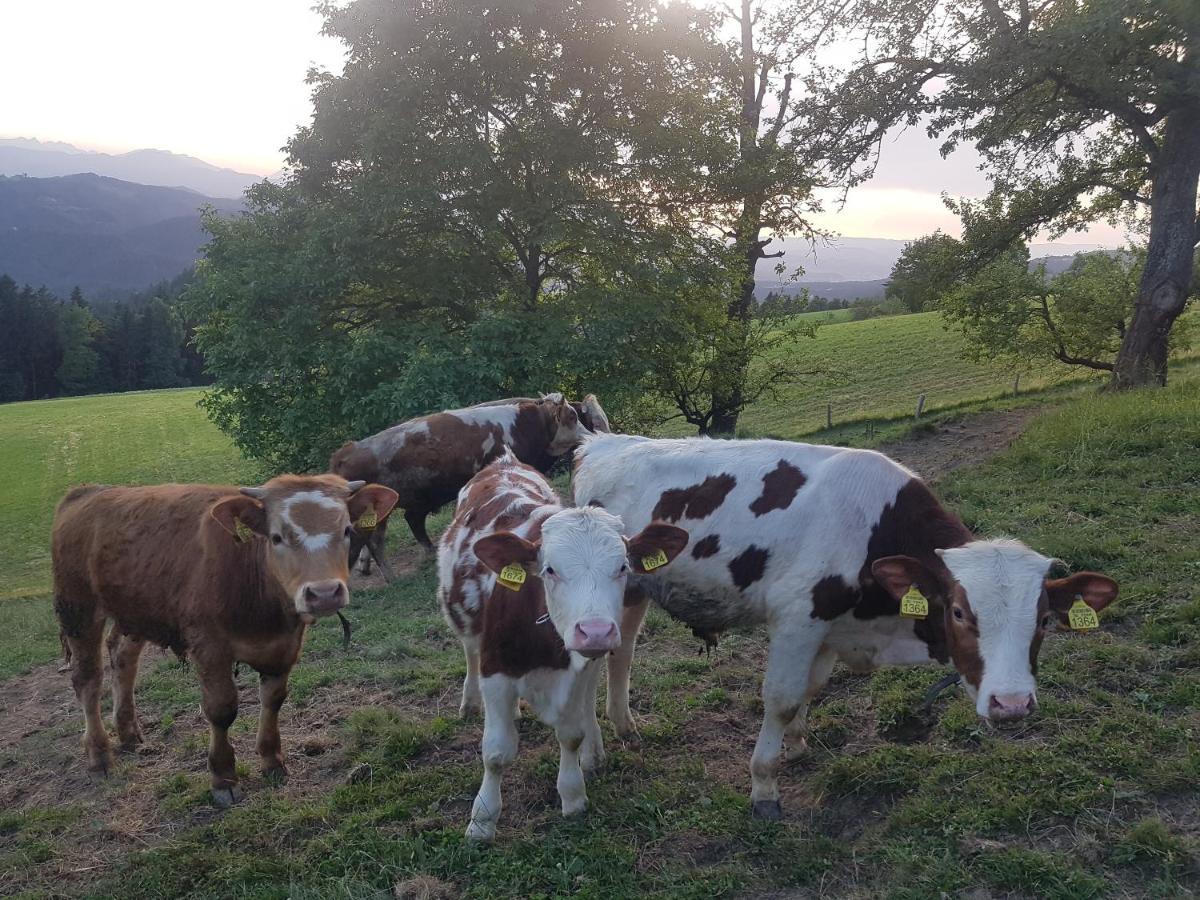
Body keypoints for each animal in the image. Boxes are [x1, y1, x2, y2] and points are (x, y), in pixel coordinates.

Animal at [51, 475, 398, 806]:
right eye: (276, 537)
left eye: (347, 530)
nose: (324, 593)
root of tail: (88, 492)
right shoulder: (209, 647)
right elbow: (221, 709)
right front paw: (223, 778)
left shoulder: (284, 644)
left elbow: (273, 699)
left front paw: (272, 760)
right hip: (78, 609)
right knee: (87, 680)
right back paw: (99, 756)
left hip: (134, 612)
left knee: (123, 659)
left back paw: (128, 732)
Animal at [439, 453, 686, 844]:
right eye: (550, 570)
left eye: (623, 566)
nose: (595, 631)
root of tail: (505, 461)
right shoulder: (497, 670)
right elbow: (496, 753)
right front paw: (482, 820)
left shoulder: (577, 669)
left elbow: (570, 734)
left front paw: (573, 795)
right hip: (469, 632)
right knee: (470, 652)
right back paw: (470, 702)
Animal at [571, 434, 1113, 820]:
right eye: (959, 612)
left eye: (1043, 619)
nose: (1012, 704)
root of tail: (602, 441)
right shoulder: (797, 619)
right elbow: (782, 699)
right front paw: (764, 787)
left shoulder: (831, 629)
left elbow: (811, 689)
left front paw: (796, 745)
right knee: (593, 666)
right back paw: (594, 752)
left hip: (634, 590)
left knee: (621, 654)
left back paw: (624, 726)